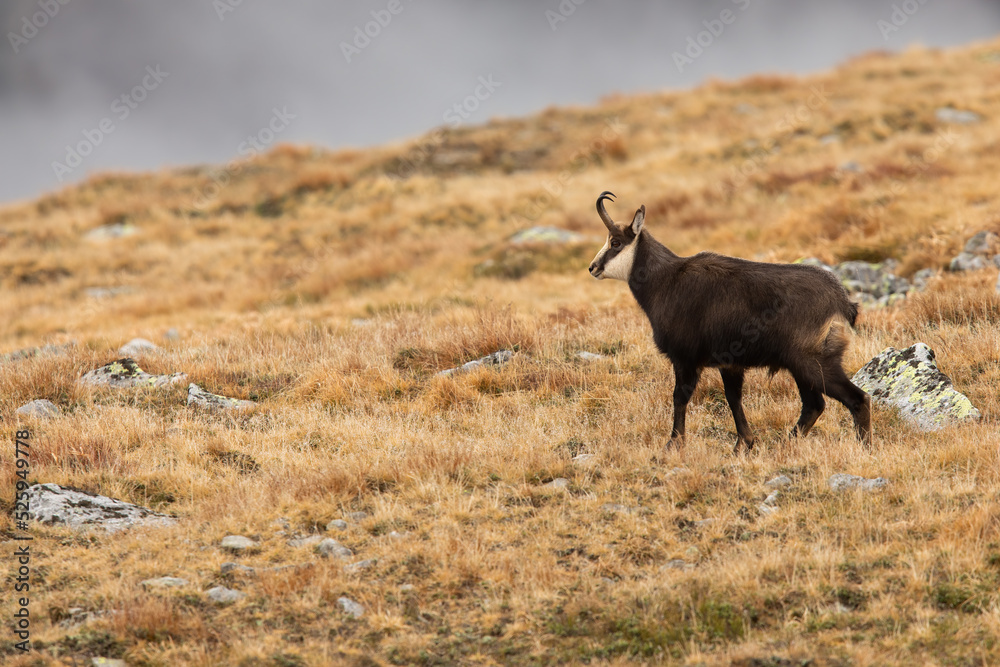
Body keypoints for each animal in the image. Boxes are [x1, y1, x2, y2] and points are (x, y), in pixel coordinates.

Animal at [588, 191, 871, 452]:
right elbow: (733, 398)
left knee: (857, 398)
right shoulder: (730, 364)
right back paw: (786, 443)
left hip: (812, 362)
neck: (666, 280)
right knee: (814, 404)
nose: (592, 268)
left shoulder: (686, 359)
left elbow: (680, 397)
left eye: (615, 242)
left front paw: (674, 444)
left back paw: (864, 447)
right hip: (800, 366)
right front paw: (744, 443)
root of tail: (841, 301)